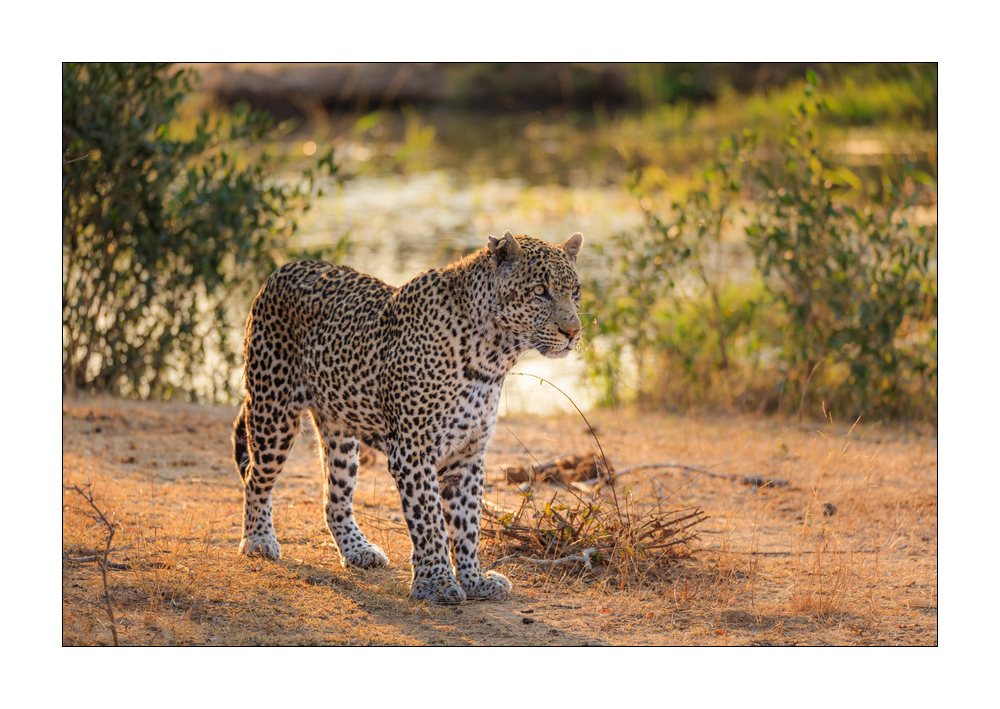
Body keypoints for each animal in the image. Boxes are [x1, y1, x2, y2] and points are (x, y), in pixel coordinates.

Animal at [232, 230, 585, 603]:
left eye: (575, 291)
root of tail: (284, 268)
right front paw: (437, 582)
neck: (493, 356)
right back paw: (258, 540)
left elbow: (467, 522)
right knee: (255, 477)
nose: (573, 332)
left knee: (334, 497)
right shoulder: (413, 452)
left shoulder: (467, 454)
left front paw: (474, 580)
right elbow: (430, 522)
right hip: (274, 411)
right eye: (540, 291)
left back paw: (358, 550)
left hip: (340, 433)